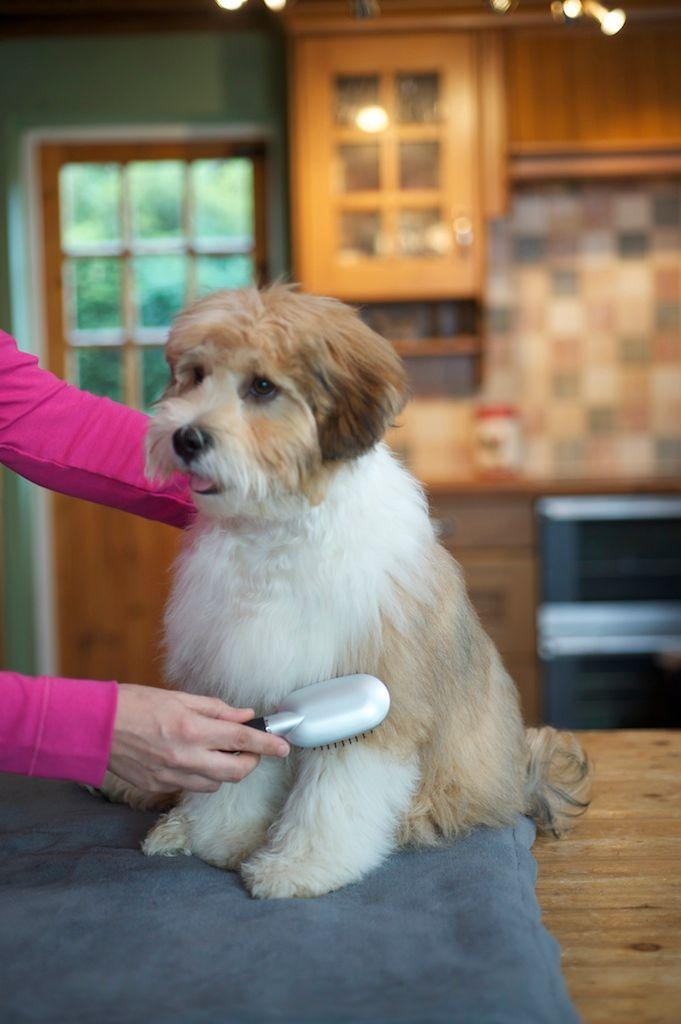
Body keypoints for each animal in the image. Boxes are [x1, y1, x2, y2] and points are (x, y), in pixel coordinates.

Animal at [104, 282, 589, 897]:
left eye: (262, 386)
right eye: (196, 375)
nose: (186, 437)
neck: (279, 530)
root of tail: (518, 779)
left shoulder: (379, 695)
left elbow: (336, 794)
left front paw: (297, 865)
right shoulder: (241, 674)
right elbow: (240, 776)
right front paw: (221, 837)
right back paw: (165, 817)